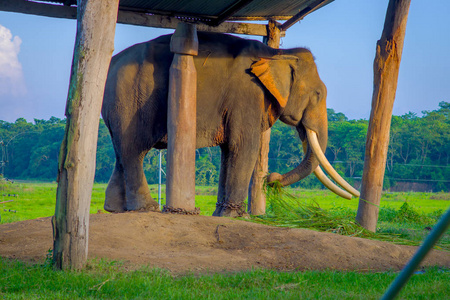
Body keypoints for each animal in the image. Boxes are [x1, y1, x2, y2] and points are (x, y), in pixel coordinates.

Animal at [102, 31, 358, 217]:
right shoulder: (248, 94)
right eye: (318, 94)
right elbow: (243, 146)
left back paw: (115, 209)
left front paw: (222, 213)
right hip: (132, 99)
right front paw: (238, 217)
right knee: (134, 149)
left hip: (117, 105)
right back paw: (146, 209)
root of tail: (111, 62)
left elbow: (229, 150)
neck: (278, 53)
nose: (272, 179)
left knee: (121, 151)